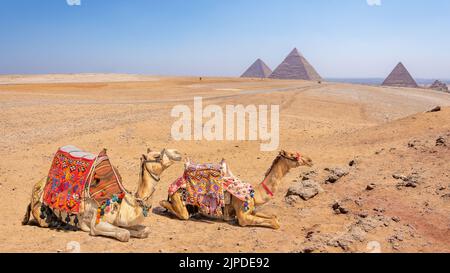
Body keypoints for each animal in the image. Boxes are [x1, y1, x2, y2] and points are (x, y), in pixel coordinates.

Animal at [22, 147, 181, 240]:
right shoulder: (96, 222)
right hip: (42, 213)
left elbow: (144, 230)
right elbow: (124, 234)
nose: (177, 153)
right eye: (157, 156)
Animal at [161, 150, 312, 228]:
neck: (255, 193)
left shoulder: (252, 210)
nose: (310, 160)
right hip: (178, 199)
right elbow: (275, 223)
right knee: (171, 207)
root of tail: (172, 186)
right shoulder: (243, 217)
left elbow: (274, 217)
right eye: (293, 156)